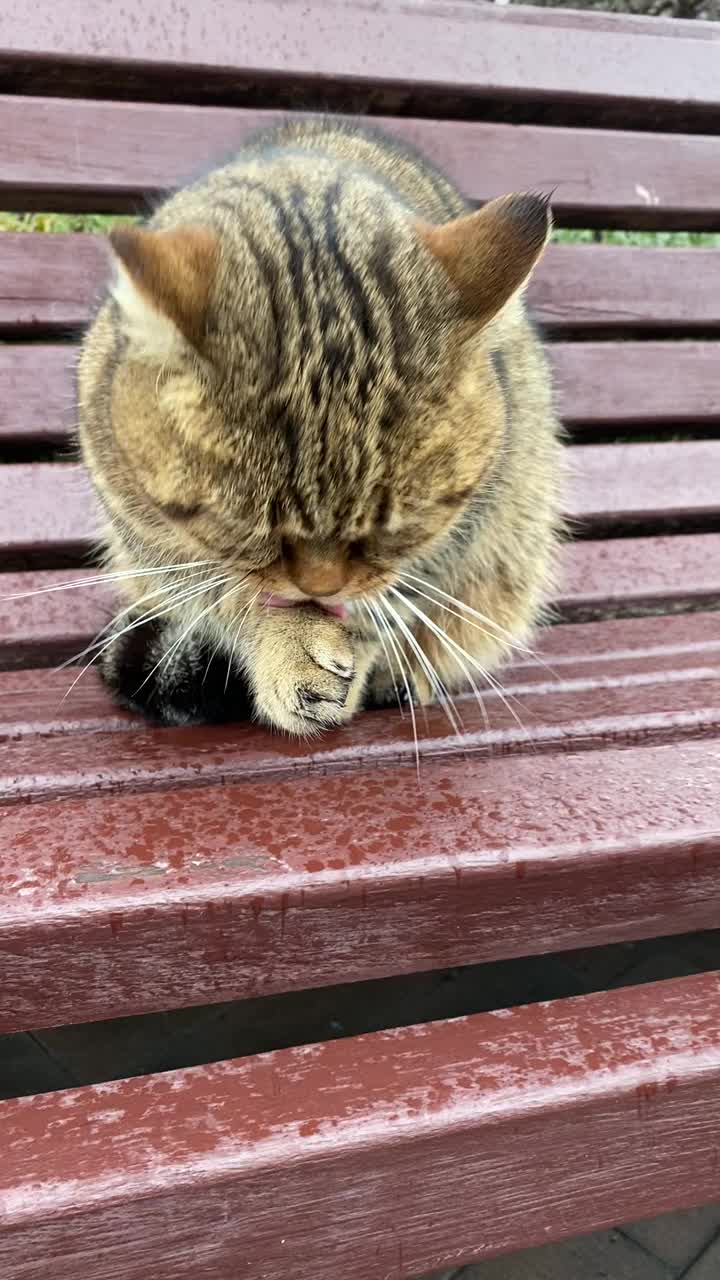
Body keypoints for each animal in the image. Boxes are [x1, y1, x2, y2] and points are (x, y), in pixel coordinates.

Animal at [78, 124, 561, 742]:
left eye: (394, 527)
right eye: (247, 528)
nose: (321, 586)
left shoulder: (452, 536)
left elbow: (387, 602)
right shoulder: (149, 536)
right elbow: (227, 592)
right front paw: (288, 647)